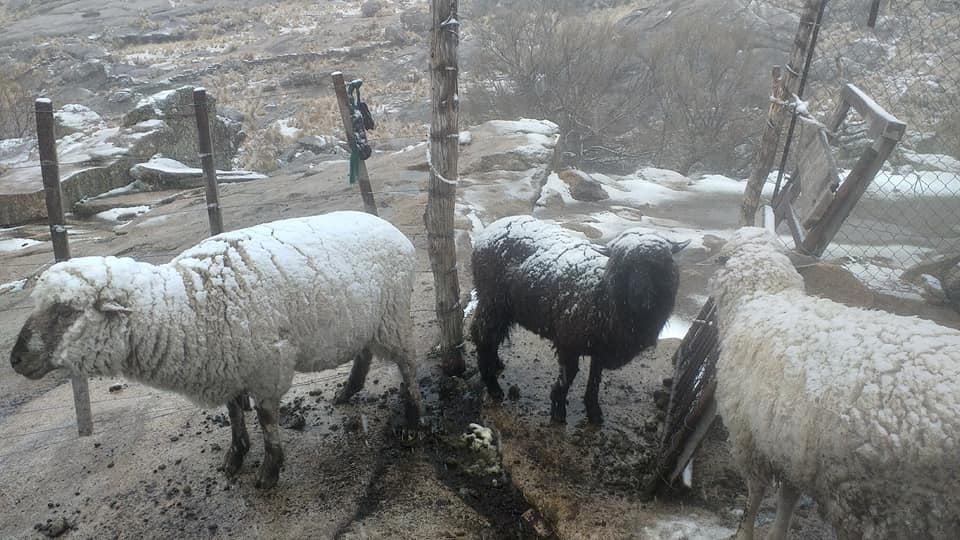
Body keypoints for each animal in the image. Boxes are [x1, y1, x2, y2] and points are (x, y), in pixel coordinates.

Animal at [10, 211, 424, 490]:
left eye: (66, 311)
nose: (15, 360)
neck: (186, 305)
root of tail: (391, 229)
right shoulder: (227, 363)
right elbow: (234, 413)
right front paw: (235, 456)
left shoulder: (268, 365)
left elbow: (267, 419)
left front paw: (269, 470)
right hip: (363, 322)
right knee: (364, 353)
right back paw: (348, 390)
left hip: (393, 317)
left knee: (408, 365)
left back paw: (412, 420)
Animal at [470, 217, 684, 424]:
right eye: (625, 267)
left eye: (657, 266)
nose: (641, 299)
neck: (603, 294)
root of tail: (490, 230)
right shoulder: (568, 342)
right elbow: (569, 376)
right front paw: (558, 408)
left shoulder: (600, 348)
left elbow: (595, 378)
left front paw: (593, 411)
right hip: (492, 303)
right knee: (482, 337)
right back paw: (493, 386)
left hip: (503, 309)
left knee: (493, 338)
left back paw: (497, 364)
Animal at [708, 228, 960, 540]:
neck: (763, 297)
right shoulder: (792, 444)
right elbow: (788, 496)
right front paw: (777, 532)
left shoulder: (747, 434)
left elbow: (754, 494)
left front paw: (744, 532)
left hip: (886, 503)